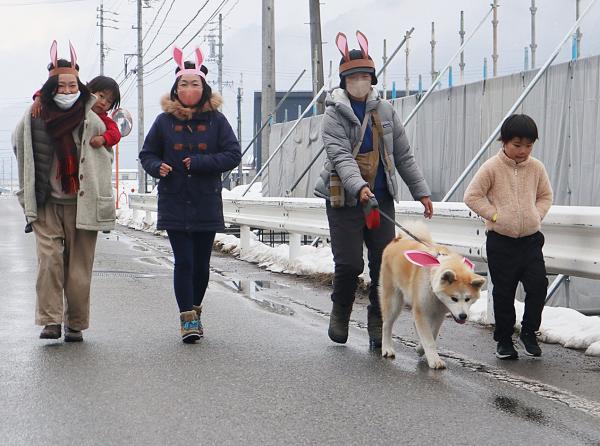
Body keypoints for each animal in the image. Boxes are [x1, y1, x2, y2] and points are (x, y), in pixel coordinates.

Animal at [382, 220, 486, 370]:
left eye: (468, 299)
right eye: (454, 298)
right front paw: (434, 360)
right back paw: (387, 348)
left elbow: (432, 334)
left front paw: (421, 349)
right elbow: (429, 339)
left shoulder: (438, 314)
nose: (463, 316)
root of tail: (399, 239)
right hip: (393, 300)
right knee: (387, 324)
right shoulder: (422, 310)